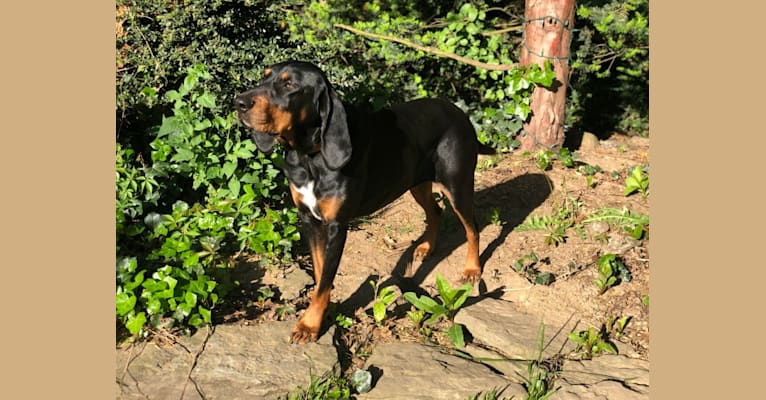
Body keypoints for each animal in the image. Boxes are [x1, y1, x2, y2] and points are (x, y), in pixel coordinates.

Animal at [237, 61, 496, 342]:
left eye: (289, 84)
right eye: (264, 78)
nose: (238, 102)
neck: (309, 158)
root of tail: (459, 113)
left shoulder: (337, 225)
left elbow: (325, 278)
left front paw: (308, 325)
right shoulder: (309, 219)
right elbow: (320, 272)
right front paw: (324, 311)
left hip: (457, 185)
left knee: (472, 226)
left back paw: (472, 269)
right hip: (416, 182)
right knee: (435, 211)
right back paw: (427, 247)